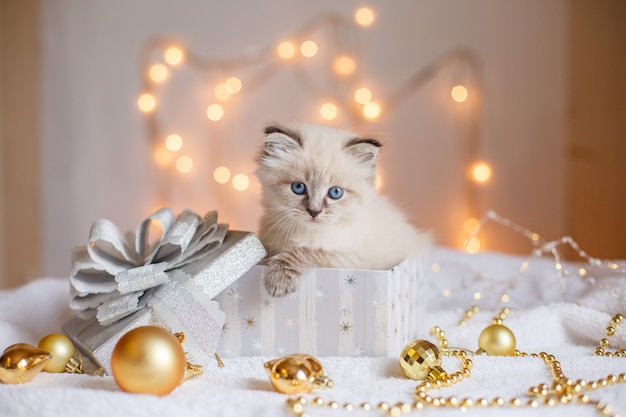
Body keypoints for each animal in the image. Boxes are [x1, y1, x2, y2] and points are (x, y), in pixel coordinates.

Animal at [255, 123, 428, 296]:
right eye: (298, 187)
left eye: (335, 192)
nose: (314, 212)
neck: (307, 234)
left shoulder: (349, 257)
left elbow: (306, 251)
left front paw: (278, 280)